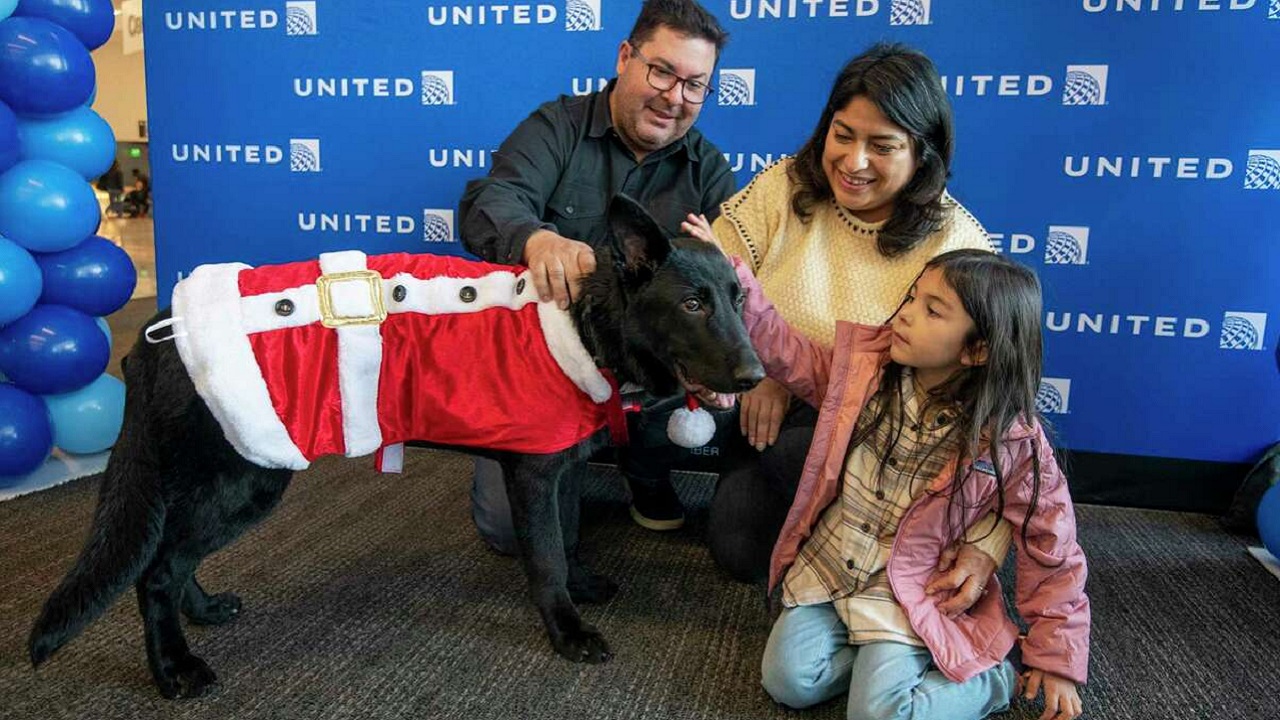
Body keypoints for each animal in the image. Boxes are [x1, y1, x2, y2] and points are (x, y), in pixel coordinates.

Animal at [30, 194, 762, 696]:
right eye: (693, 304)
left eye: (736, 298)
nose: (757, 376)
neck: (586, 324)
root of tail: (159, 328)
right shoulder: (531, 476)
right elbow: (547, 558)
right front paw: (567, 629)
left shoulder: (561, 471)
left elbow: (569, 536)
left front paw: (581, 587)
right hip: (244, 479)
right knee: (155, 571)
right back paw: (174, 669)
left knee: (175, 563)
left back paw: (205, 611)